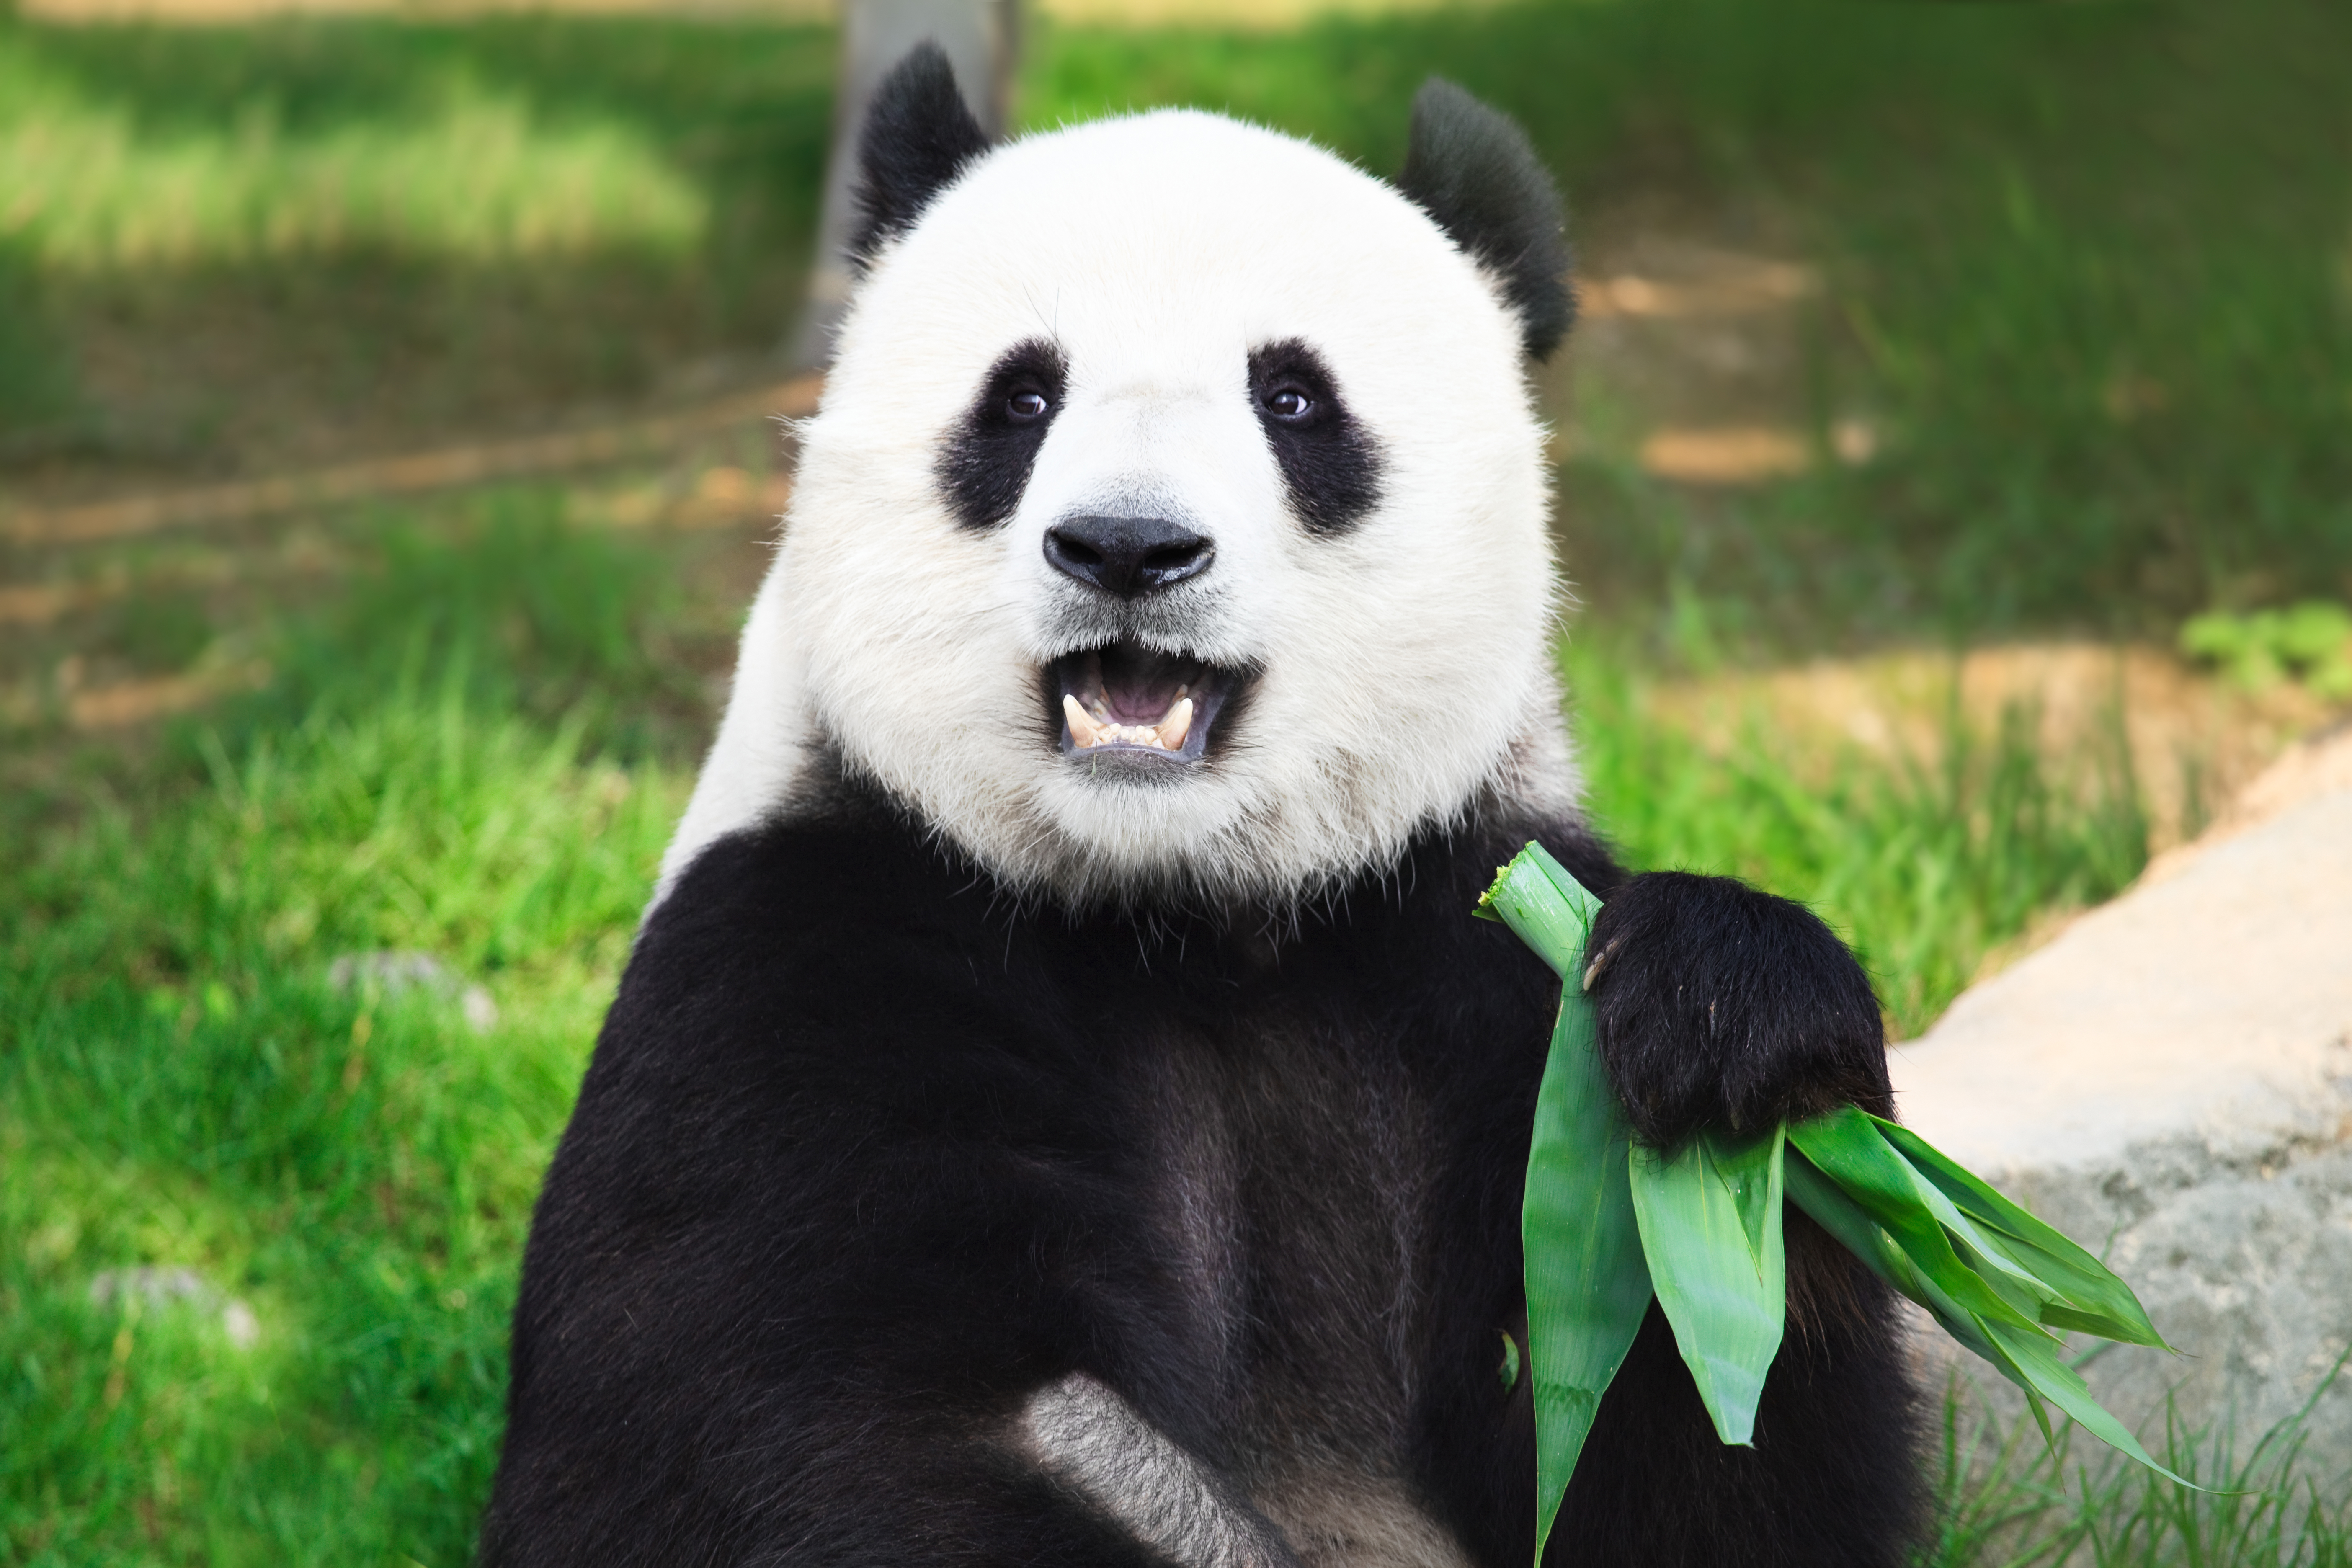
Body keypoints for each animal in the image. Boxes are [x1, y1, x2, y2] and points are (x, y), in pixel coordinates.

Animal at [487, 49, 1919, 1568]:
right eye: (1021, 402)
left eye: (1292, 402)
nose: (1128, 548)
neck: (1179, 908)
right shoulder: (803, 962)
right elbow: (772, 1443)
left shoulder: (1466, 954)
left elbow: (1702, 1433)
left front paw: (1727, 1012)